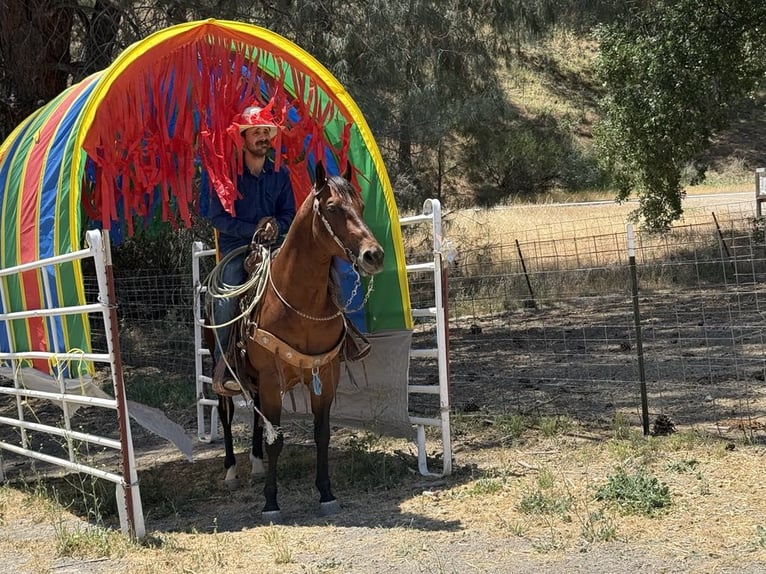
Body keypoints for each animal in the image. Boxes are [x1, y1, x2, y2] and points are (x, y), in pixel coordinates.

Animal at [210, 161, 384, 522]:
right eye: (332, 207)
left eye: (361, 206)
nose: (373, 255)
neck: (299, 302)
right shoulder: (272, 378)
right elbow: (276, 440)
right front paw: (271, 503)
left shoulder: (324, 374)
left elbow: (321, 434)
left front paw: (326, 493)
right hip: (222, 369)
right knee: (225, 413)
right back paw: (232, 471)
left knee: (258, 417)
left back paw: (257, 466)